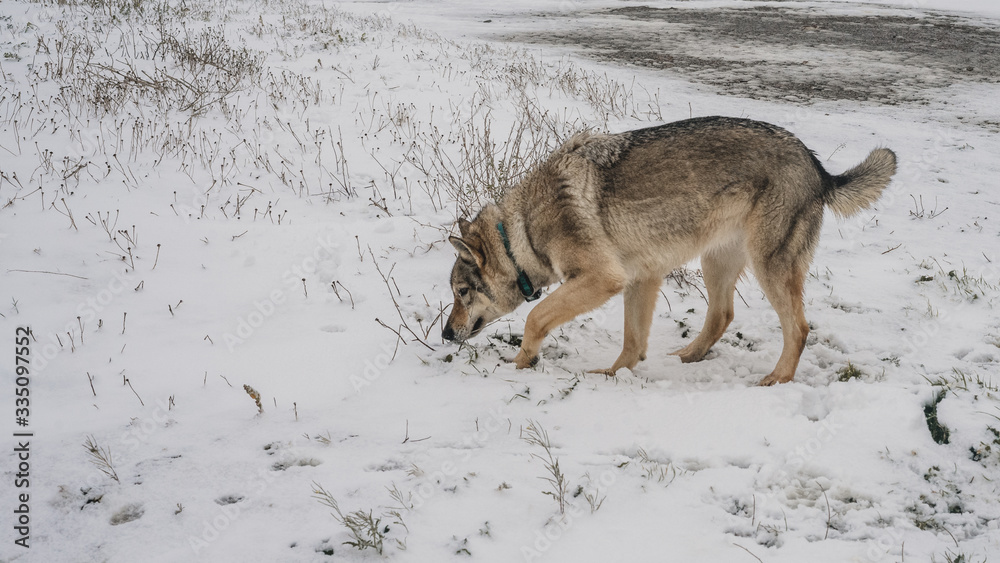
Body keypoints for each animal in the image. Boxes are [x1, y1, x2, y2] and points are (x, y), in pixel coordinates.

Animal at [442, 117, 896, 385]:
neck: (520, 231)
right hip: (717, 262)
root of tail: (818, 167)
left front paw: (521, 364)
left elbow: (535, 317)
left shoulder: (603, 279)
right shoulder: (640, 277)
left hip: (768, 267)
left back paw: (776, 380)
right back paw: (689, 356)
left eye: (461, 294)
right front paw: (613, 375)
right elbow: (632, 342)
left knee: (798, 329)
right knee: (722, 315)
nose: (445, 334)